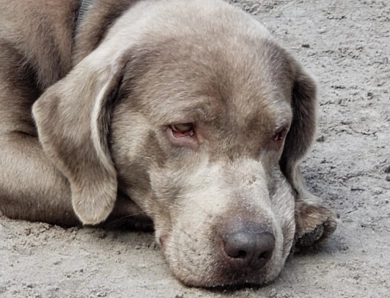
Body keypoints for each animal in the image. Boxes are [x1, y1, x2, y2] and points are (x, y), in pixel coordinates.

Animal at [0, 0, 336, 288]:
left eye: (279, 133)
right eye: (182, 129)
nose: (251, 248)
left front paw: (302, 210)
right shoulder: (8, 154)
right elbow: (120, 194)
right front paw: (299, 216)